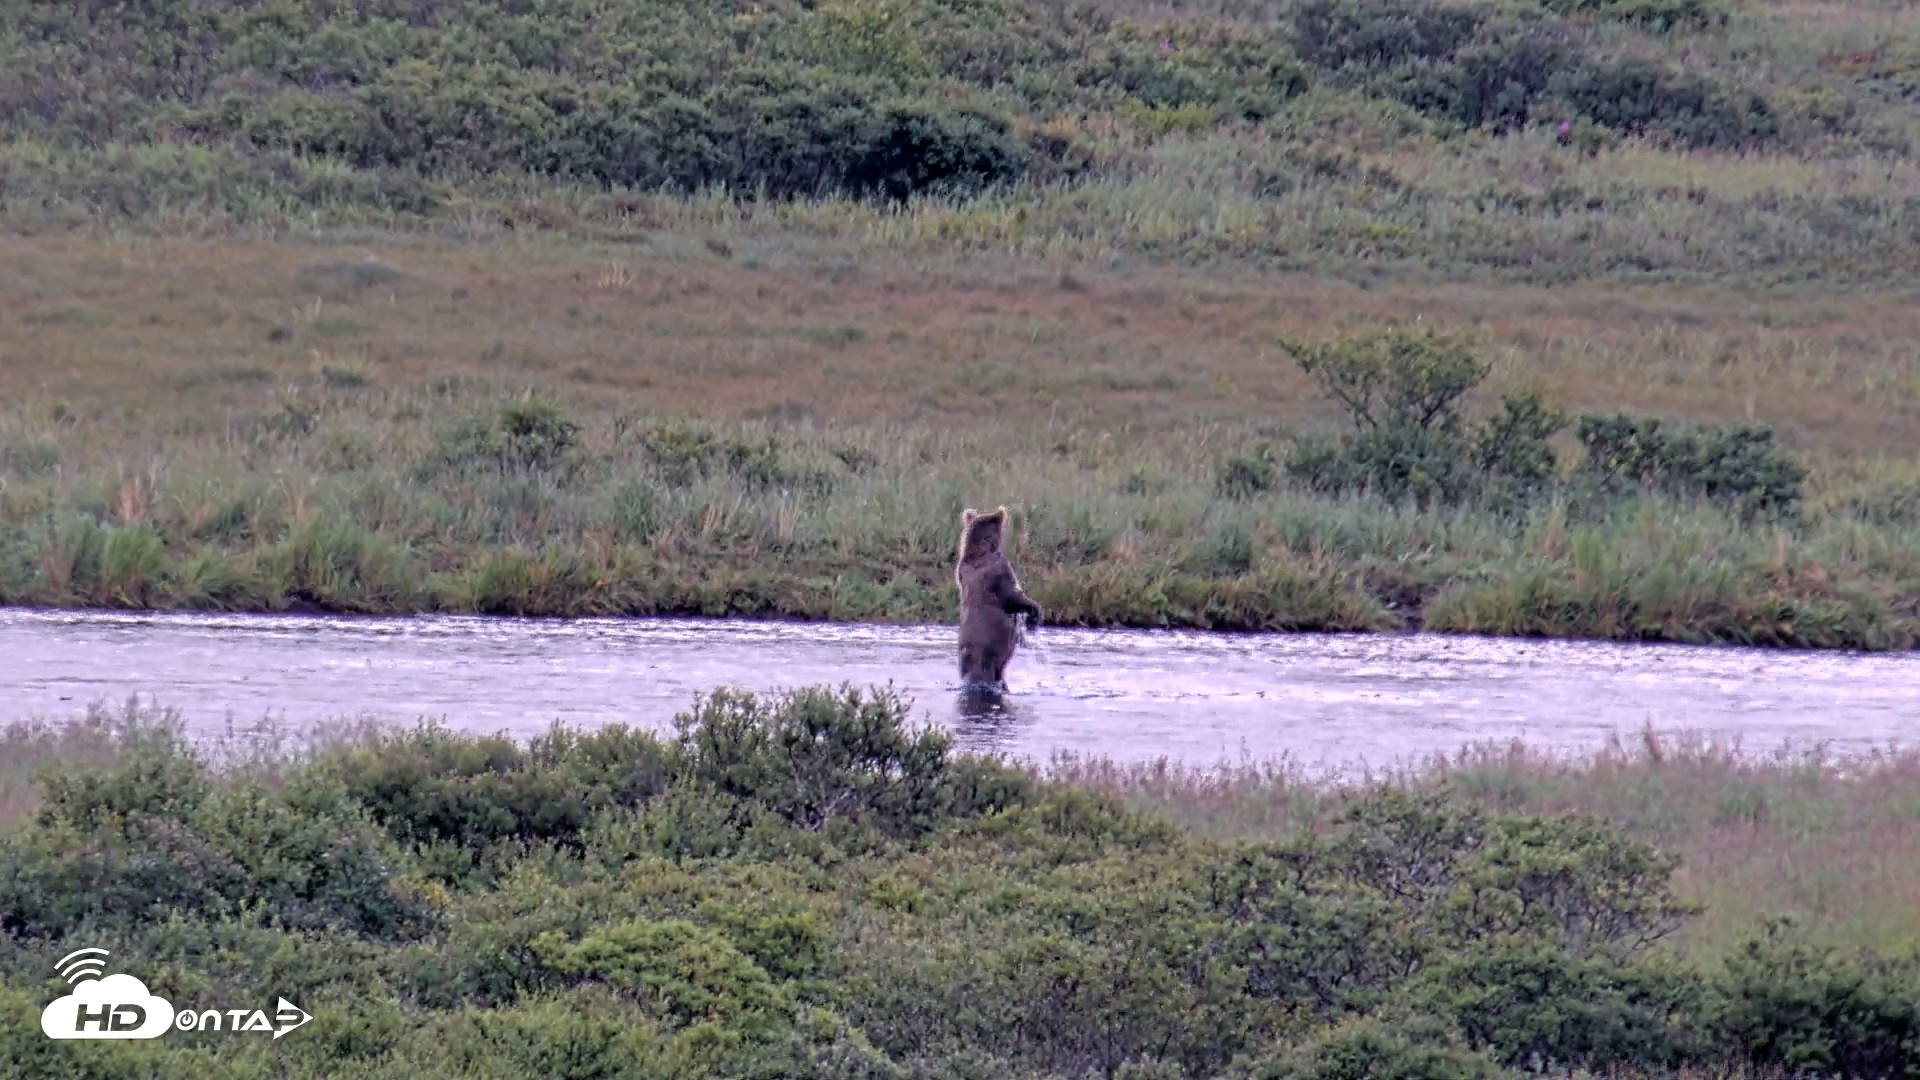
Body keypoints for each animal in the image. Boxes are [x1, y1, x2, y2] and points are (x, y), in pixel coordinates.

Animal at [954, 505, 1044, 691]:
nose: (1003, 512)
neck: (981, 551)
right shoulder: (999, 571)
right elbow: (1012, 597)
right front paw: (1034, 615)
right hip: (989, 652)